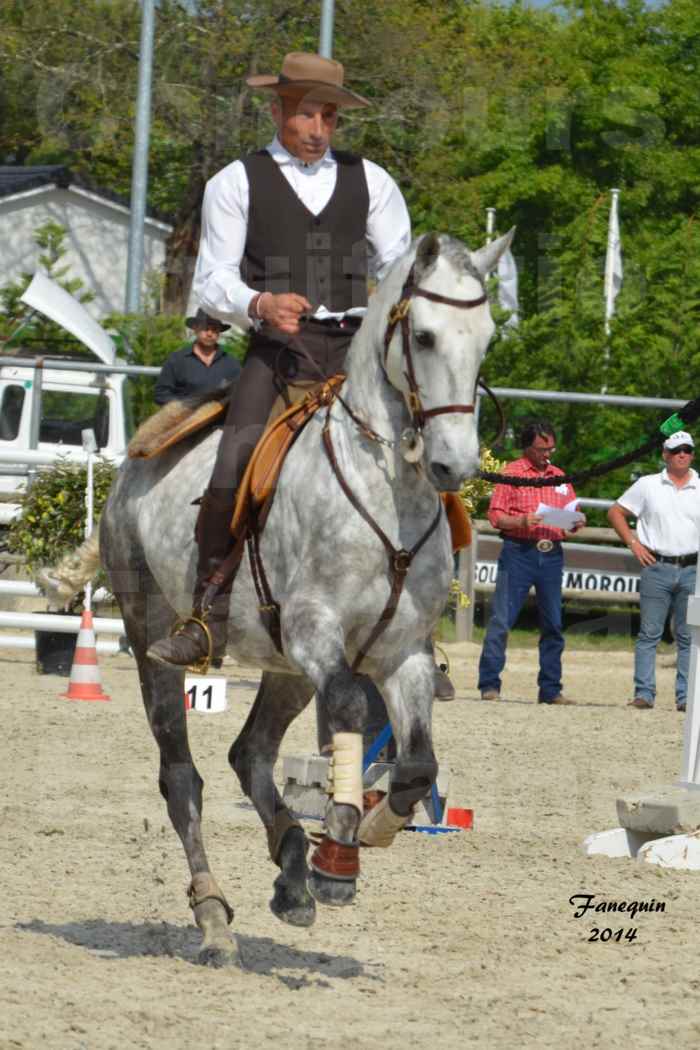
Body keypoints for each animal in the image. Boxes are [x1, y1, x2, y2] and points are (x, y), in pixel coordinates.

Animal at [46, 232, 512, 965]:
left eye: (487, 338)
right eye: (426, 336)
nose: (454, 465)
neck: (386, 495)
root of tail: (132, 467)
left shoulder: (401, 654)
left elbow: (416, 766)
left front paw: (368, 832)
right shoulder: (315, 631)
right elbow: (349, 707)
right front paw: (339, 854)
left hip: (285, 669)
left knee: (250, 754)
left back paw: (290, 872)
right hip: (158, 640)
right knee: (182, 778)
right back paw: (215, 918)